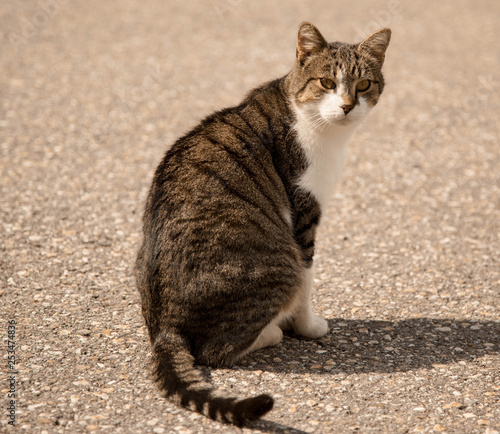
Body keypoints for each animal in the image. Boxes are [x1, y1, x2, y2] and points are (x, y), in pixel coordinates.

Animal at [136, 22, 390, 426]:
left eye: (363, 85)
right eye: (326, 82)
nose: (348, 105)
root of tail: (165, 328)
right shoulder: (304, 217)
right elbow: (308, 283)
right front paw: (307, 327)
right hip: (278, 264)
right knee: (215, 350)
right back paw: (271, 332)